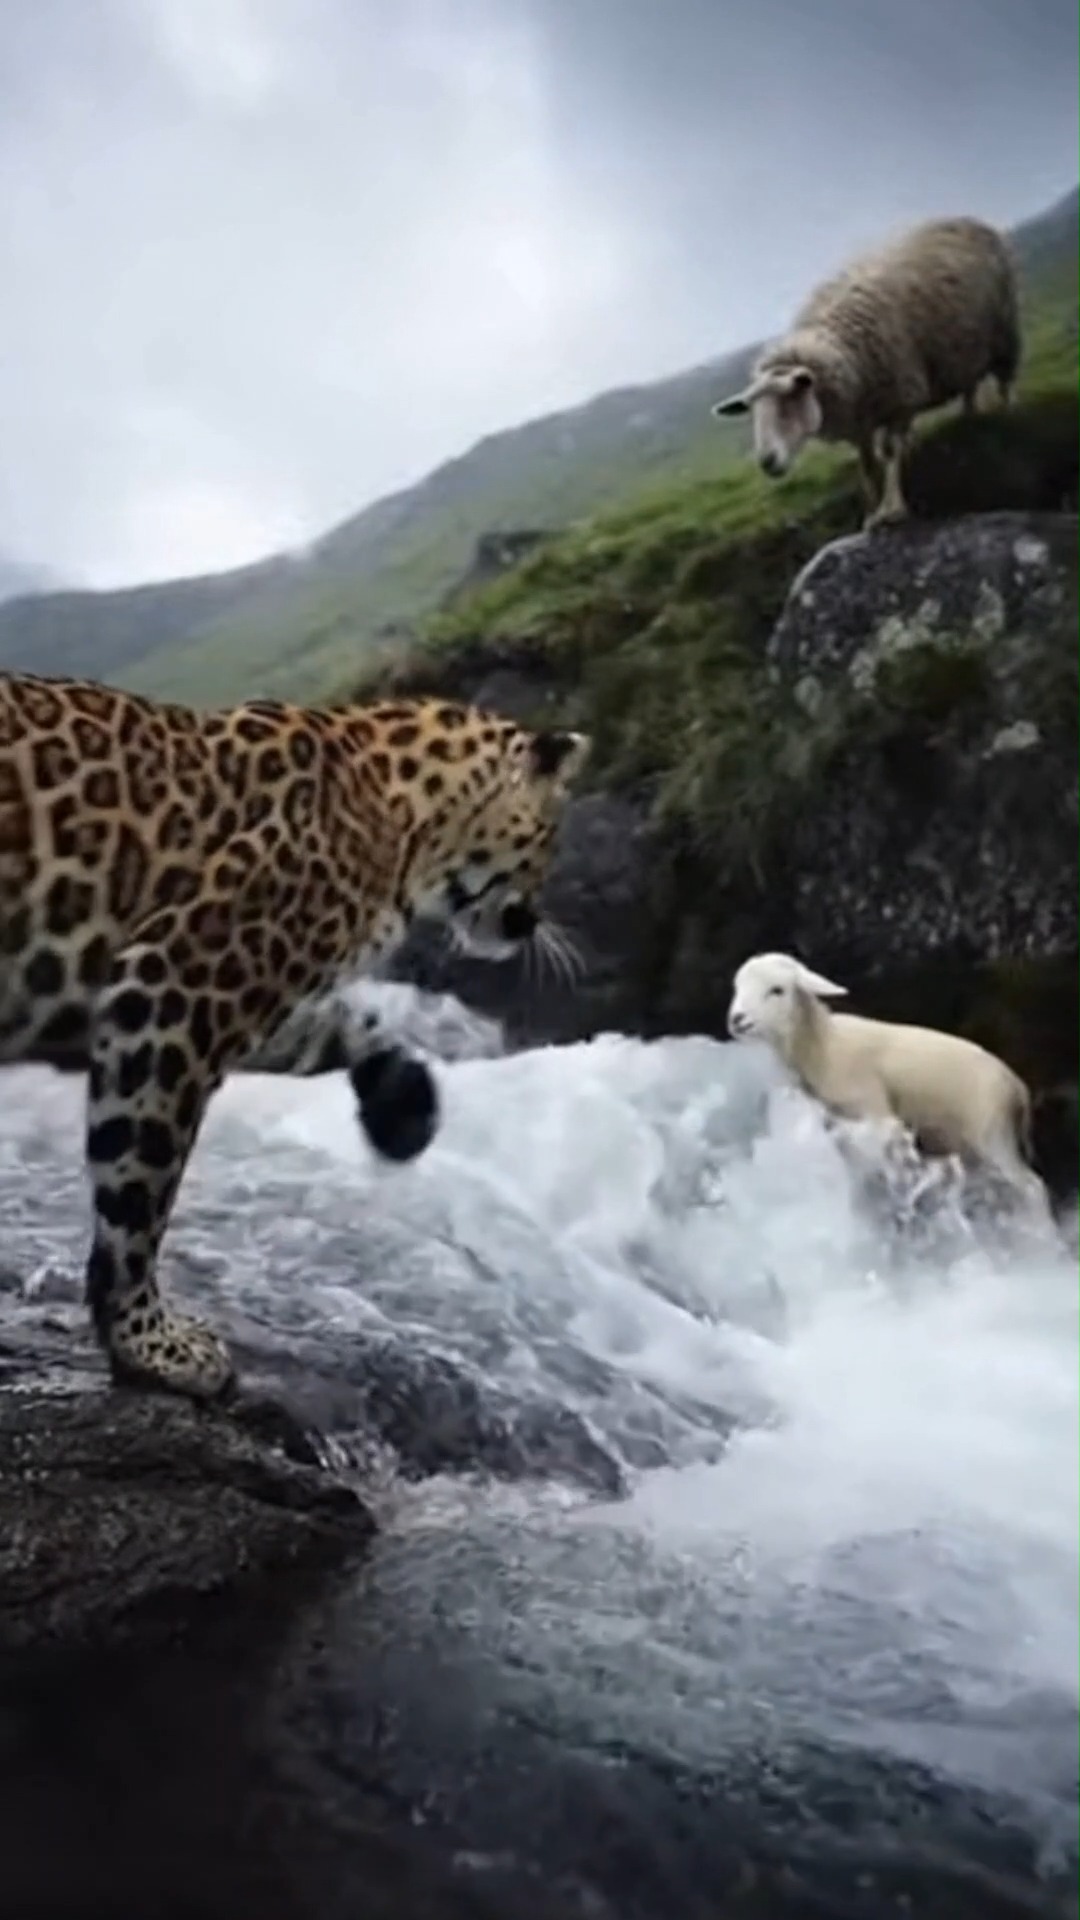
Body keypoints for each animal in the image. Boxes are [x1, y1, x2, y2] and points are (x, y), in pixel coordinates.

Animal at [0, 670, 590, 1402]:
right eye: (551, 836)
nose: (530, 921)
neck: (402, 819)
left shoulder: (229, 998)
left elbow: (339, 1026)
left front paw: (405, 1106)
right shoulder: (173, 988)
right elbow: (140, 1191)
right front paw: (148, 1342)